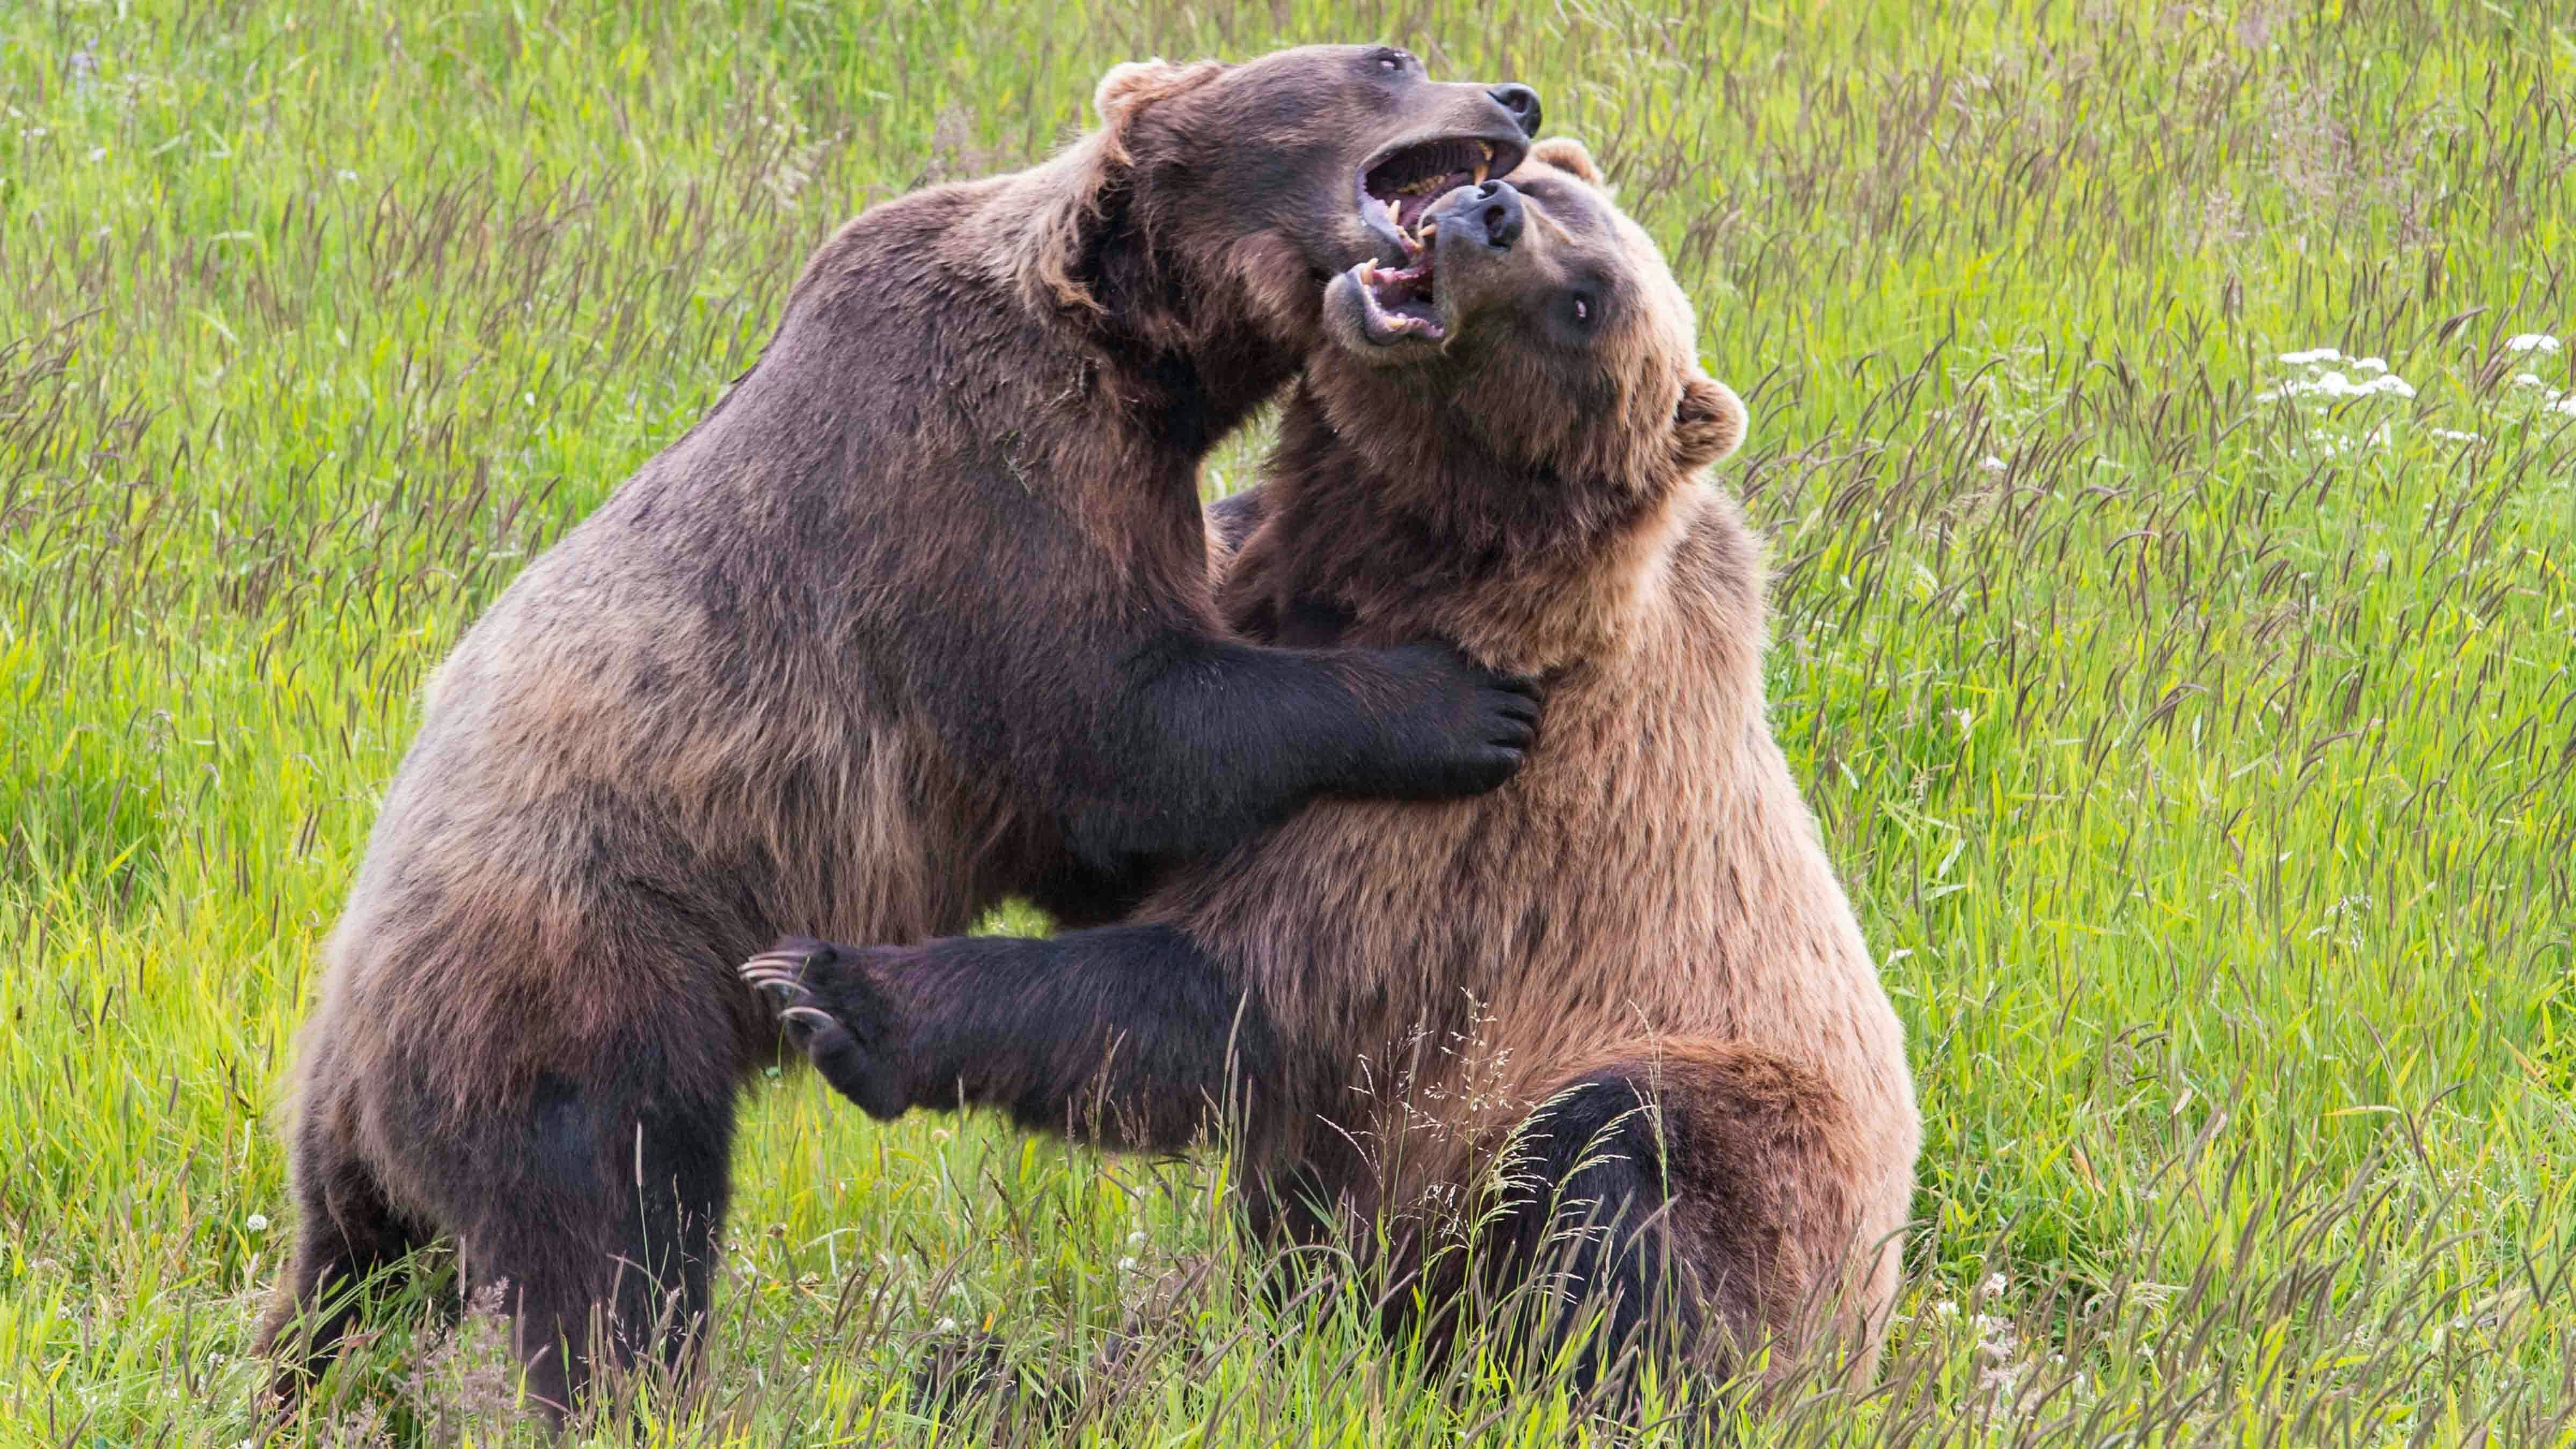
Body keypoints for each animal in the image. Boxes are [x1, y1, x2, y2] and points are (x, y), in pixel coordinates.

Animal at [255, 46, 1550, 1423]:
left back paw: (301, 1381)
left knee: (349, 1277)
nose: (1514, 98)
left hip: (374, 1120)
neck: (1136, 353)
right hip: (583, 975)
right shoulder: (969, 486)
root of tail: (351, 1018)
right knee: (610, 1240)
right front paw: (1459, 697)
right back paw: (645, 1392)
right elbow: (1127, 726)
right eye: (1385, 61)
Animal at [742, 137, 1921, 1414]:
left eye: (1585, 302)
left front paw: (837, 991)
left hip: (1746, 1150)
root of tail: (1867, 1343)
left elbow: (1229, 992)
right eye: (1552, 195)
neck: (1396, 561)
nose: (1490, 211)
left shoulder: (1492, 808)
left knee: (1614, 1176)